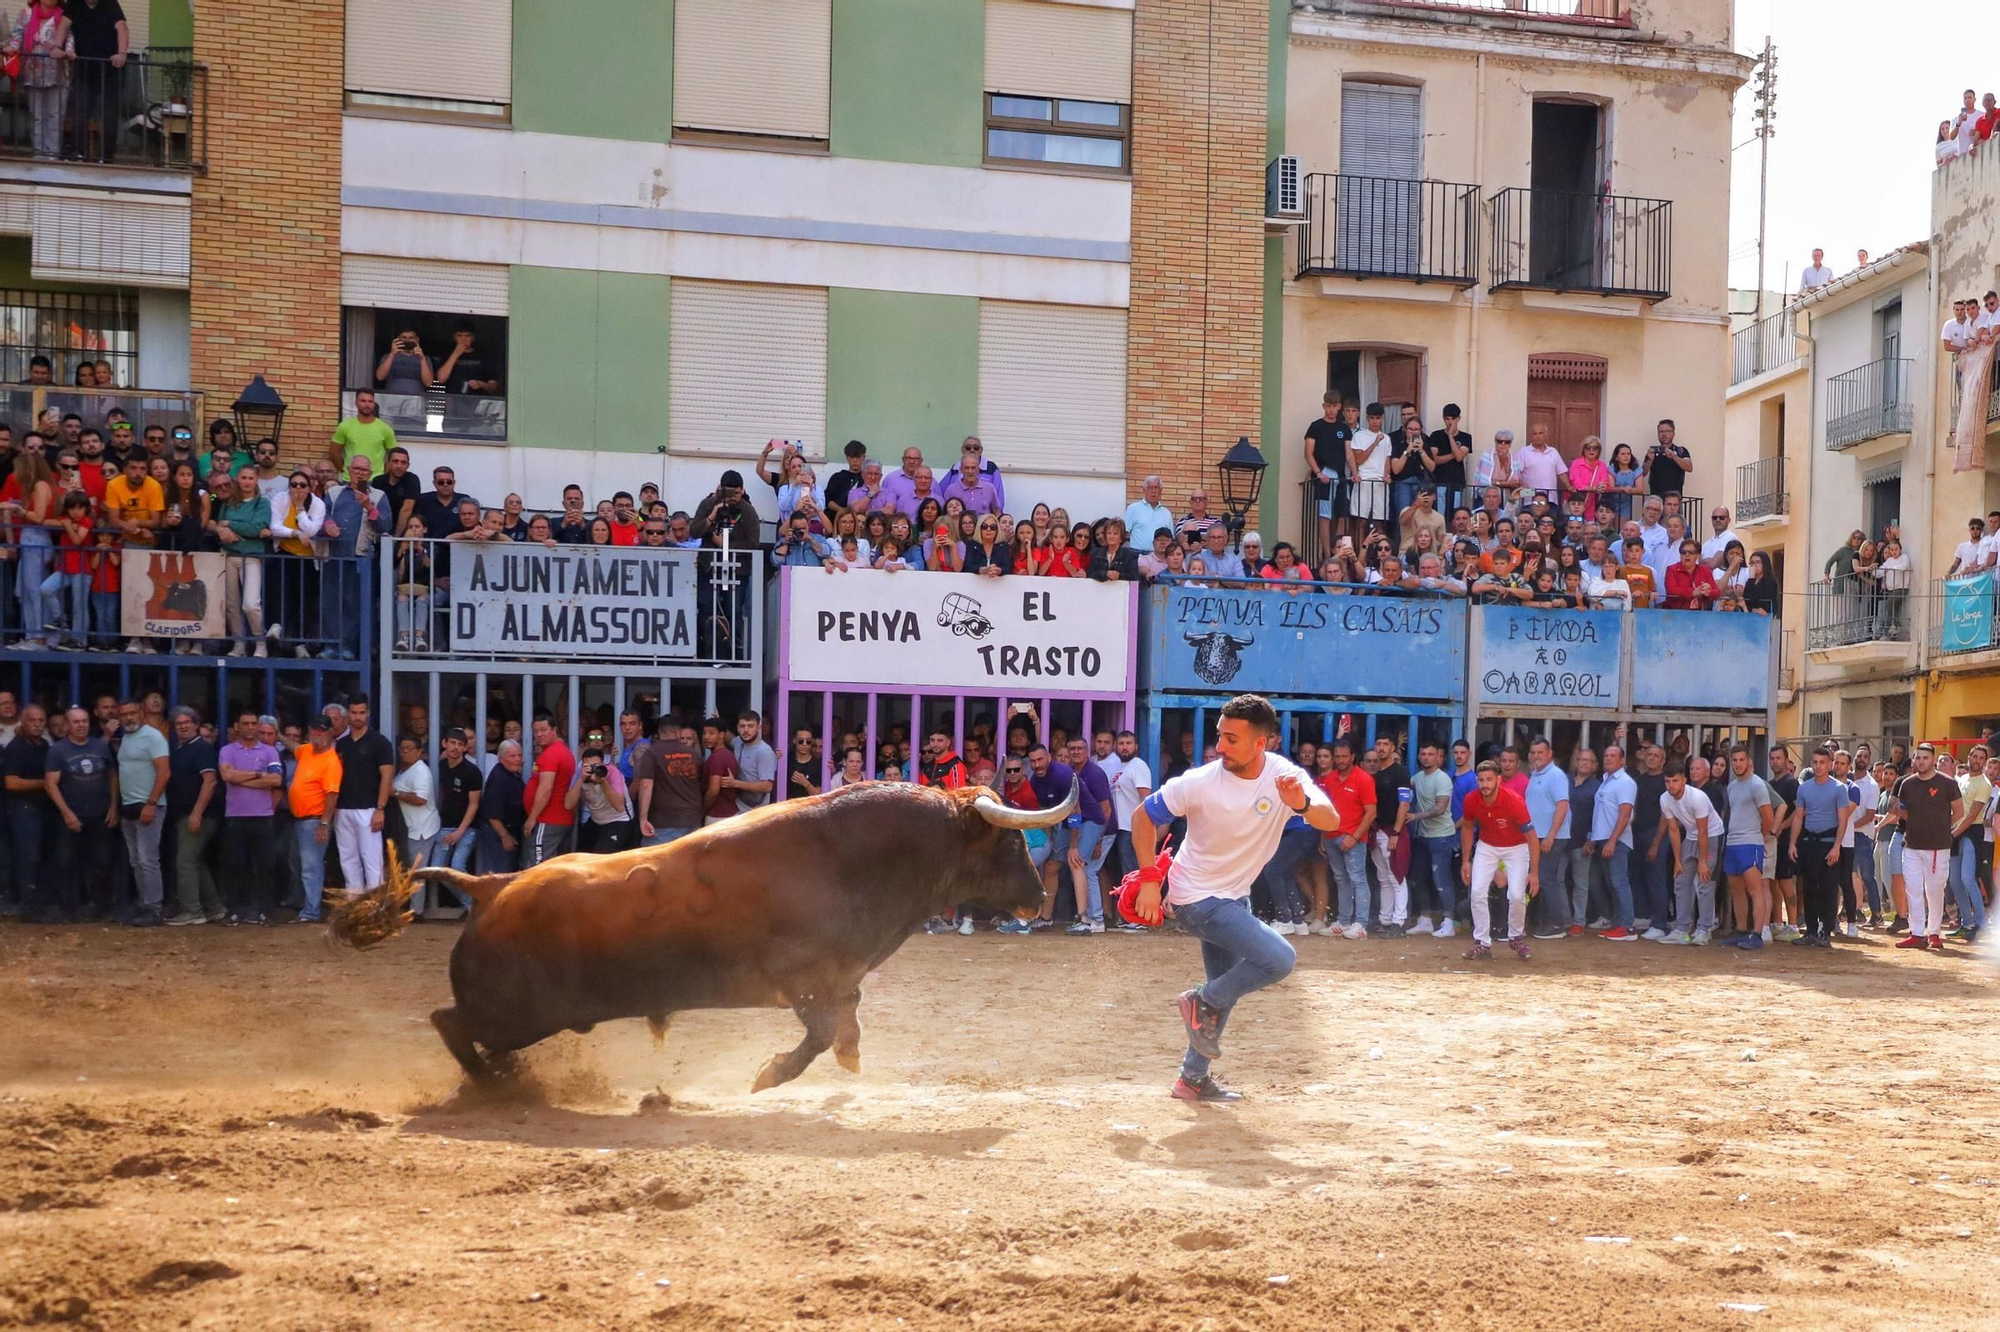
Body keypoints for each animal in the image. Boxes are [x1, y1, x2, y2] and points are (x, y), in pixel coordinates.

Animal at [360, 780, 1080, 1088]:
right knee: (450, 1023)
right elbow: (819, 1034)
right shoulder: (803, 980)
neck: (847, 856)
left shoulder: (839, 979)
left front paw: (848, 1061)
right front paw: (770, 1074)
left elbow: (846, 1023)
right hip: (516, 1012)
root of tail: (491, 885)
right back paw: (494, 1083)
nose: (1039, 897)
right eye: (1011, 843)